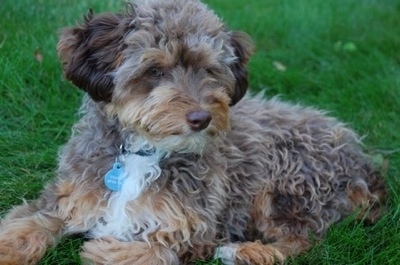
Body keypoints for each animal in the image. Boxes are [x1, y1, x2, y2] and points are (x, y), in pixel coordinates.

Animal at [0, 0, 388, 264]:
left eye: (208, 70)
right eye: (155, 70)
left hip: (285, 181)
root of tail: (364, 161)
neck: (143, 152)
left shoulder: (198, 230)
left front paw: (108, 249)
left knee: (304, 240)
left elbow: (155, 250)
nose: (202, 118)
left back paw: (245, 251)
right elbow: (28, 225)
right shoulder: (65, 198)